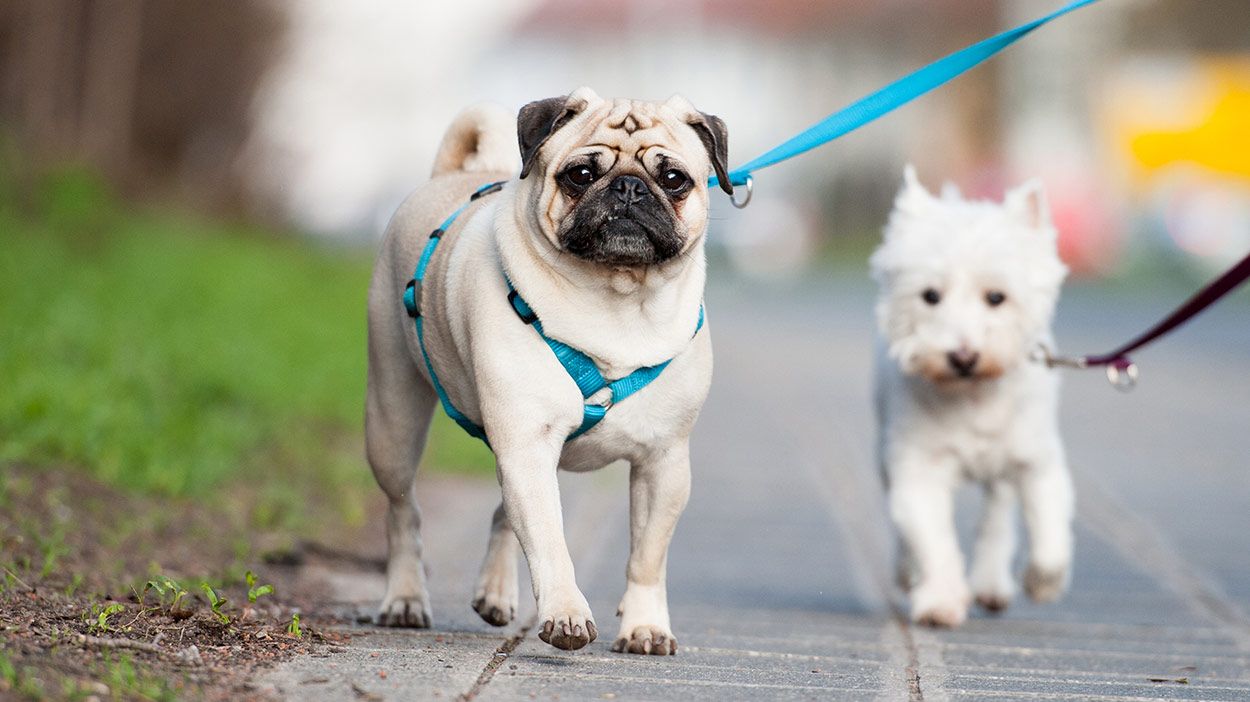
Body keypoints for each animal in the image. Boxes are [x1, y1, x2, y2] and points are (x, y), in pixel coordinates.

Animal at [870, 166, 1075, 624]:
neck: (973, 397)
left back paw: (992, 582)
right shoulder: (918, 467)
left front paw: (1042, 582)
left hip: (1003, 468)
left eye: (997, 297)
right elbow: (932, 540)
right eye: (930, 296)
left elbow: (1049, 529)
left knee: (997, 512)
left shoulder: (1038, 461)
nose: (962, 356)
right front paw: (940, 601)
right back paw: (910, 573)